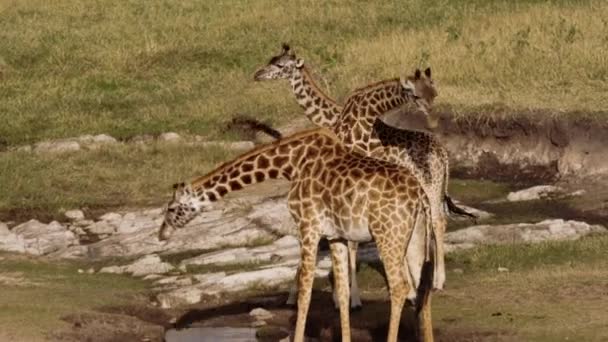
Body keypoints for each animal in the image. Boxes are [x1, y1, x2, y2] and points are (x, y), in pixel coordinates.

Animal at [159, 127, 436, 340]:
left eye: (171, 208)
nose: (161, 234)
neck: (290, 164)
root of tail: (420, 197)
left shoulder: (307, 227)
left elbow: (305, 292)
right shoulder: (334, 235)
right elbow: (342, 292)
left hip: (387, 235)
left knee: (400, 287)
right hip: (414, 237)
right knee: (422, 289)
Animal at [254, 43, 478, 292]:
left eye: (280, 65)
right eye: (272, 60)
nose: (257, 75)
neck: (334, 117)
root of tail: (444, 155)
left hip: (431, 184)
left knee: (438, 221)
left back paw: (437, 281)